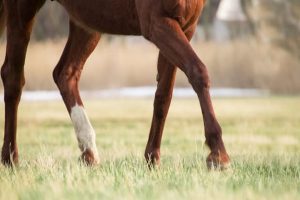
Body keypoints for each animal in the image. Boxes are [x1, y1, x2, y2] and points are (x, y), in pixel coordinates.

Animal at [0, 0, 230, 169]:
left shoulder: (186, 27)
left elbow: (164, 95)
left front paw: (152, 158)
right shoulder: (157, 22)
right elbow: (198, 71)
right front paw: (218, 153)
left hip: (88, 20)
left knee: (65, 73)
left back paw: (89, 152)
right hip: (23, 8)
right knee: (13, 76)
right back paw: (10, 159)